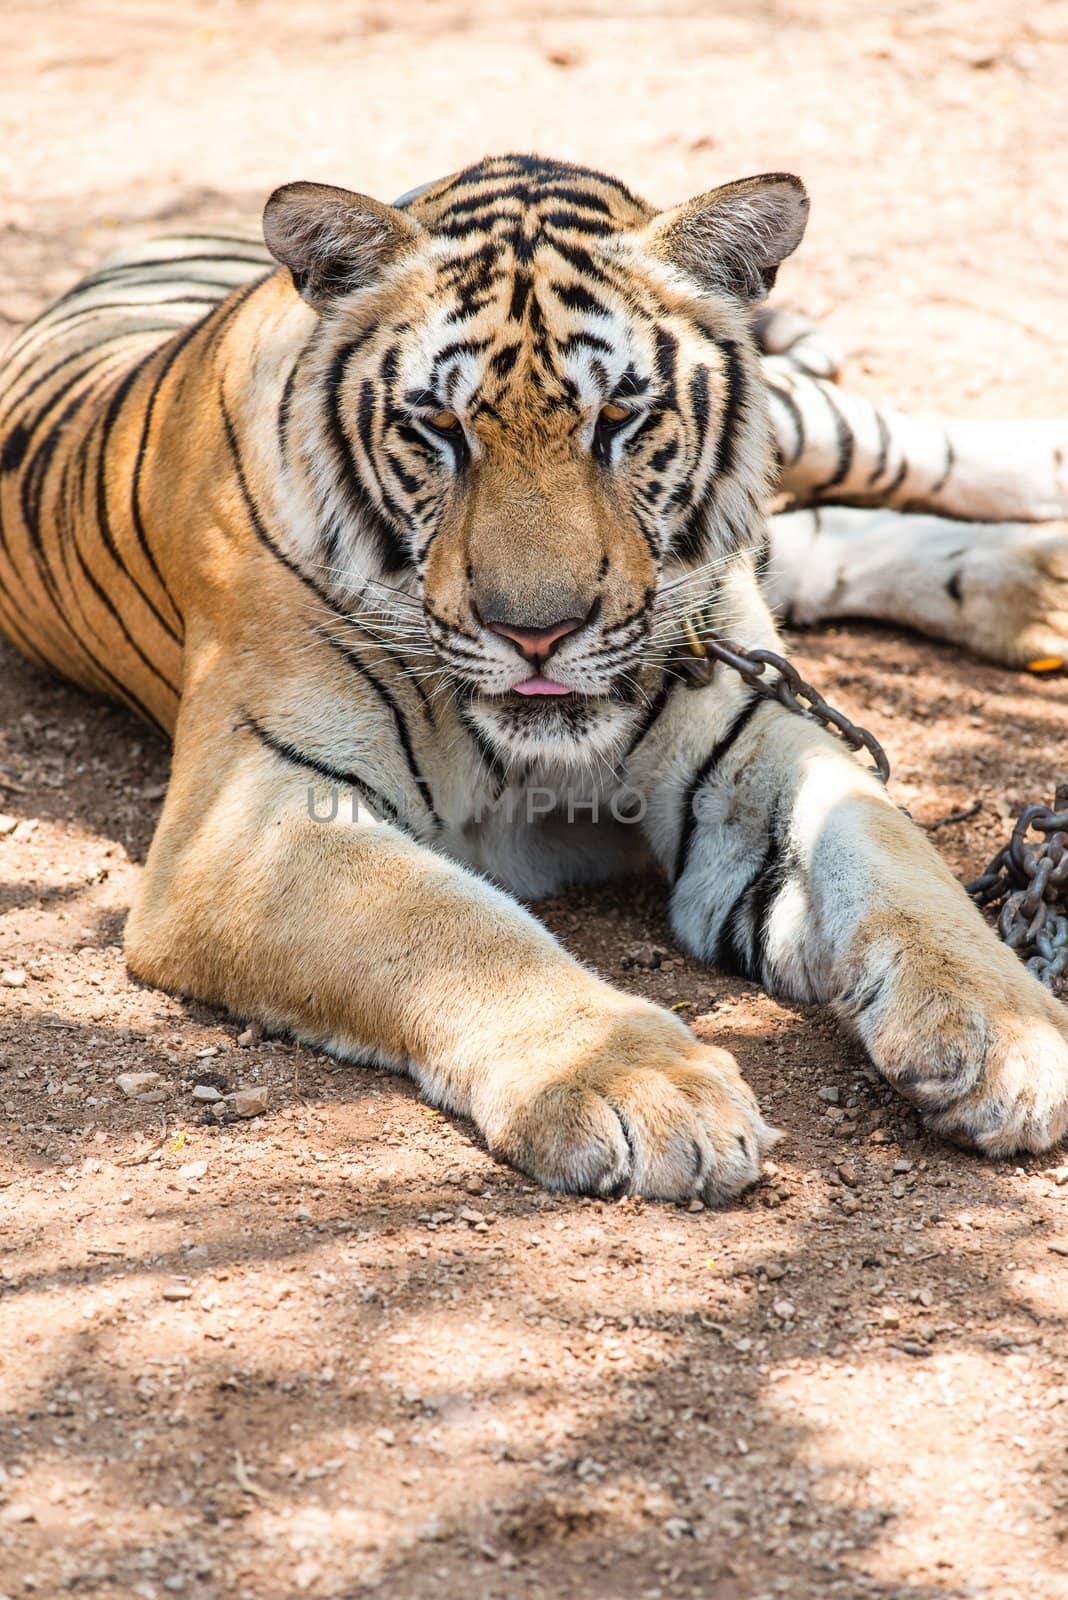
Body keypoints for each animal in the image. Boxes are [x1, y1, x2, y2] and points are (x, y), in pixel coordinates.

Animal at [2, 152, 1068, 1203]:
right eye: (439, 425)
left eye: (618, 418)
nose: (537, 633)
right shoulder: (250, 822)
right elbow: (456, 929)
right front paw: (642, 1090)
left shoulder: (754, 739)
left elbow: (890, 852)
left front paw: (1010, 1034)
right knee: (807, 535)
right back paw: (1034, 587)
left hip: (802, 430)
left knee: (881, 449)